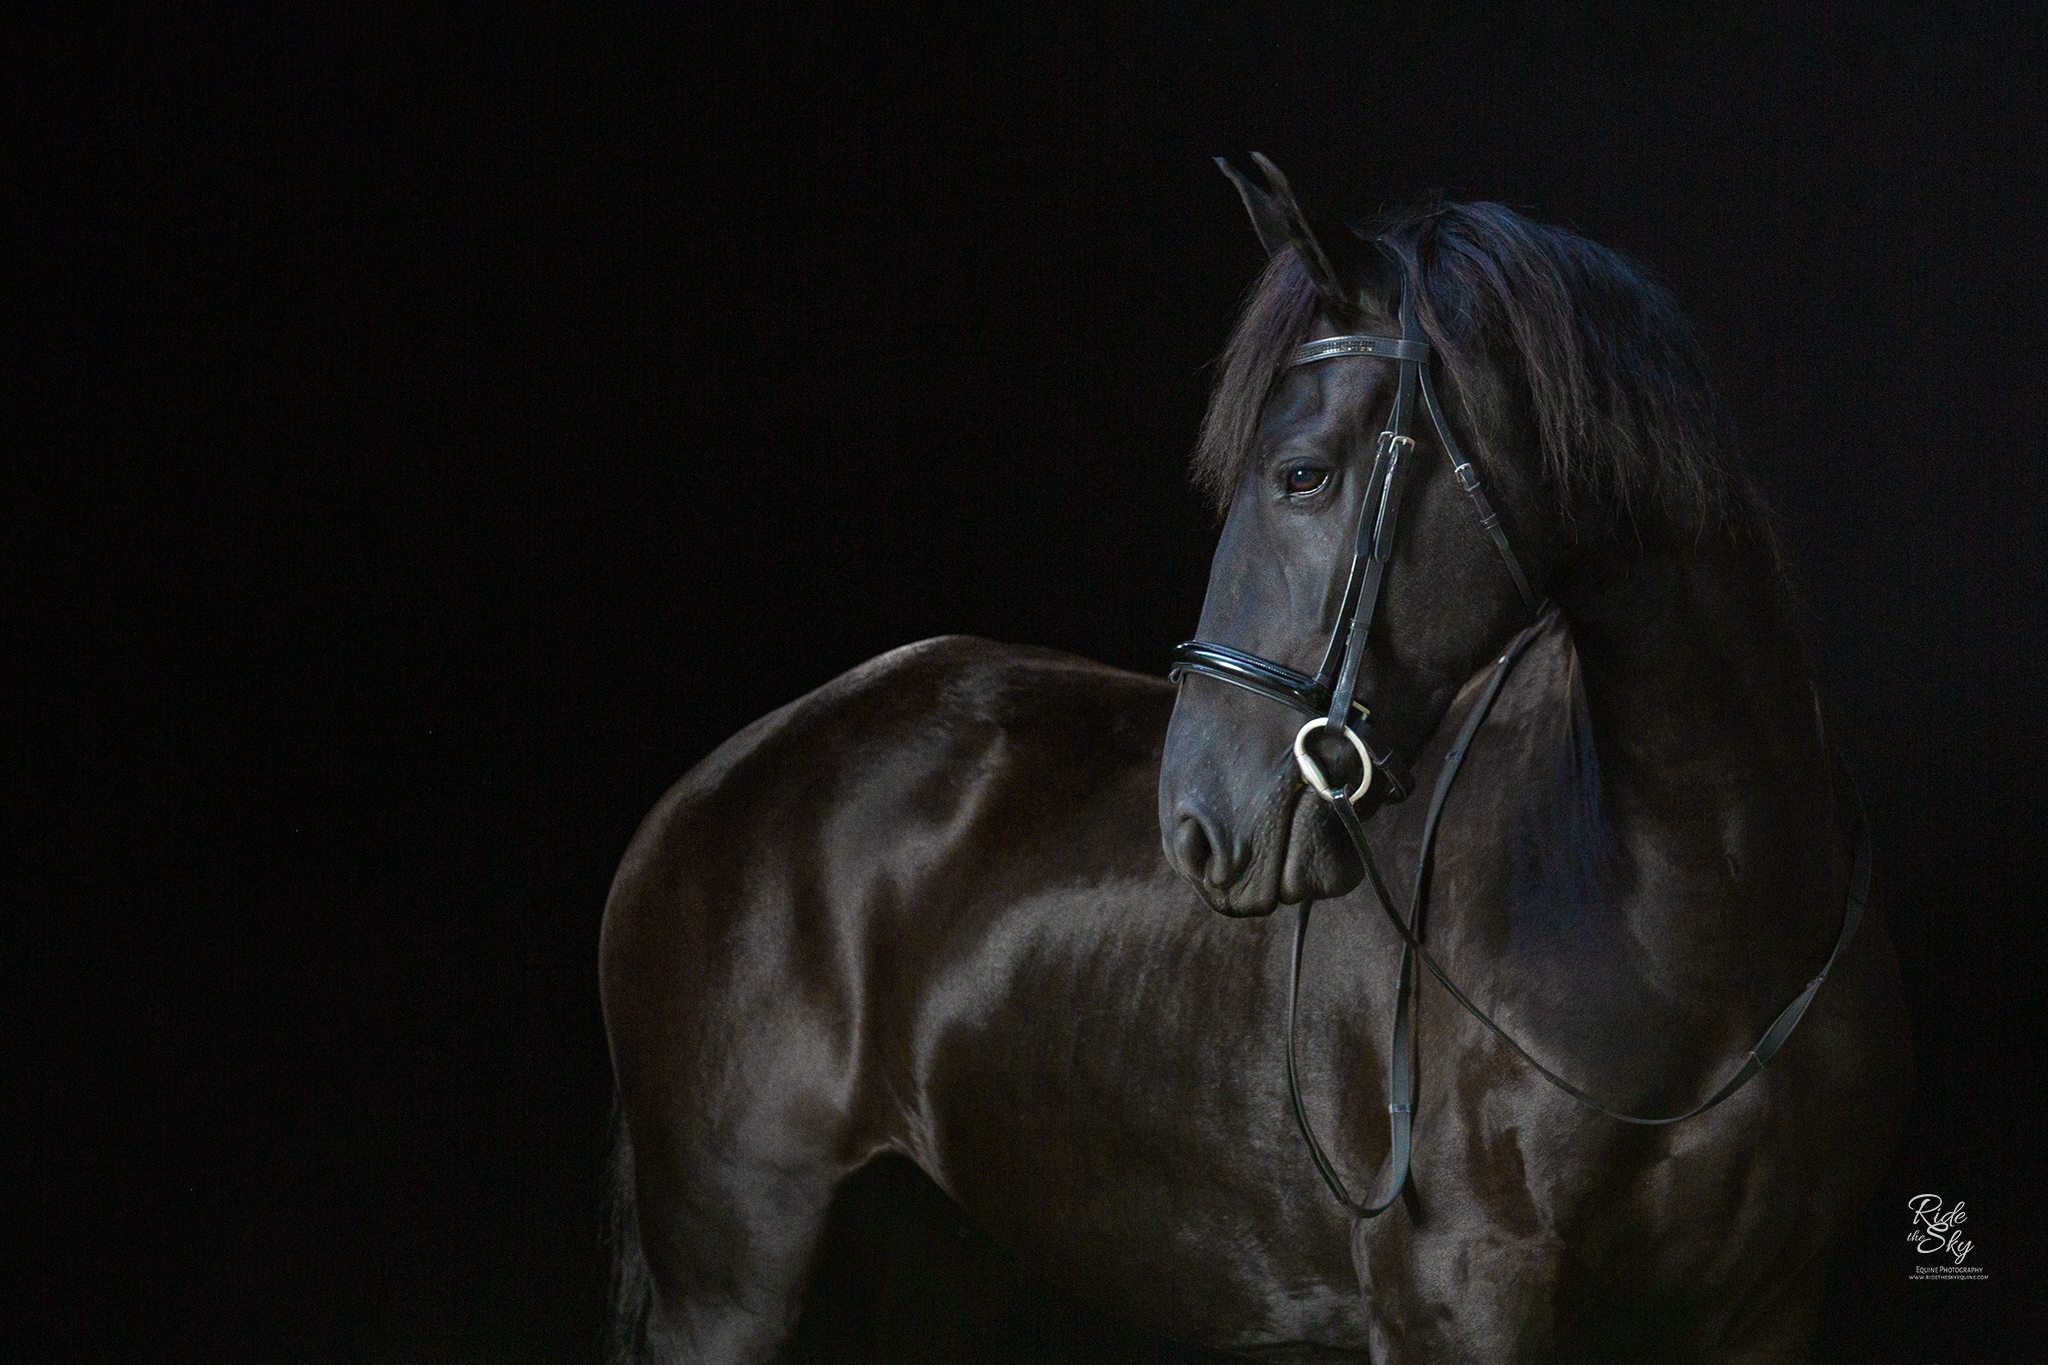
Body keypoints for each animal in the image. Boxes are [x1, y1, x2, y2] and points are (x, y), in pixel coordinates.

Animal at [598, 162, 1908, 1365]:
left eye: (1300, 474)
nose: (1195, 820)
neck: (1688, 908)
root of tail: (711, 788)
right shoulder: (1459, 1306)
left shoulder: (1763, 1315)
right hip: (731, 1283)